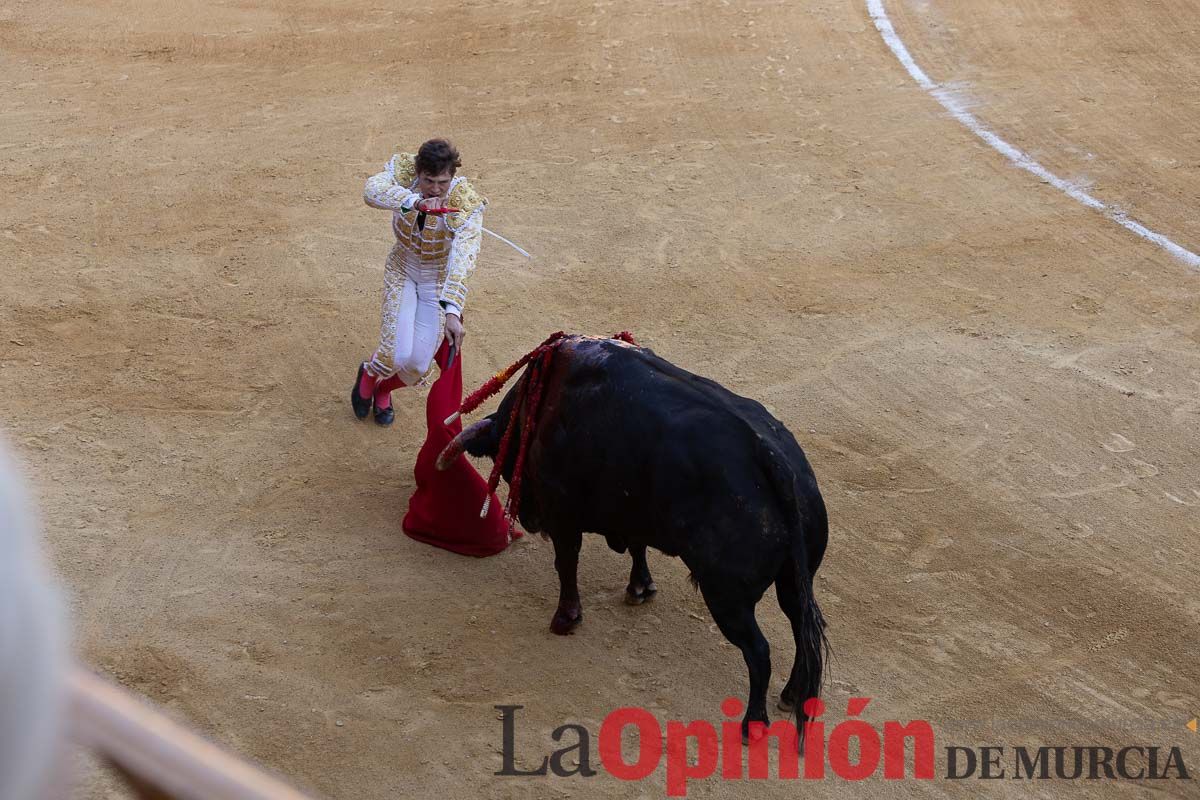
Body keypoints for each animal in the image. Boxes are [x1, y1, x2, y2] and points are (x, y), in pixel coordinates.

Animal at [436, 335, 830, 734]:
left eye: (508, 466)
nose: (532, 521)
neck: (542, 406)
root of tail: (776, 461)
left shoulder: (563, 515)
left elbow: (567, 563)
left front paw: (566, 618)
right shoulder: (633, 511)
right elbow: (637, 547)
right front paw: (640, 588)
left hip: (726, 597)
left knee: (759, 652)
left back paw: (753, 723)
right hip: (794, 580)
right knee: (800, 627)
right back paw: (792, 695)